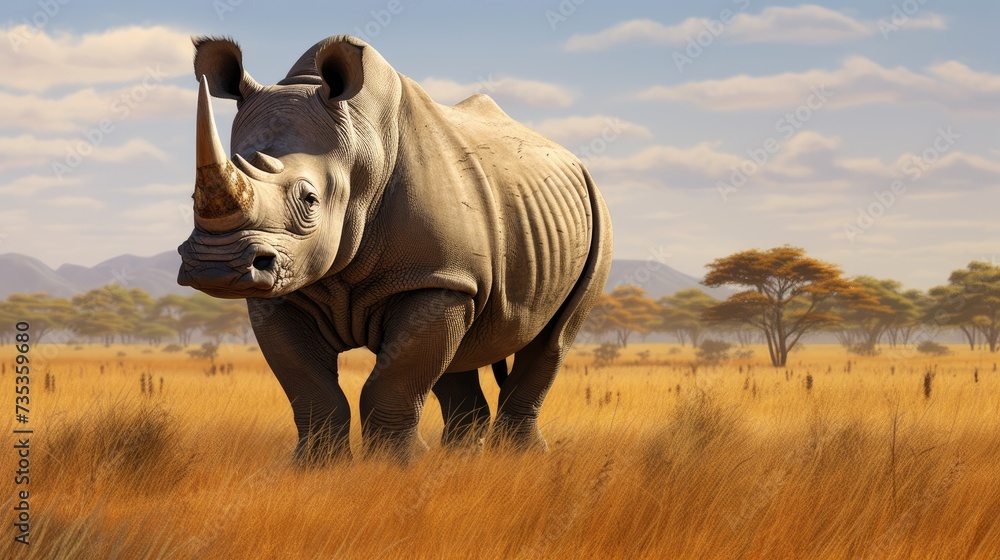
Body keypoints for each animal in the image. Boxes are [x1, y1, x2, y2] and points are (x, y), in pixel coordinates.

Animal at [177, 35, 613, 463]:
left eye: (310, 200)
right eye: (193, 196)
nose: (217, 267)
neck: (360, 148)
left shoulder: (435, 277)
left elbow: (394, 380)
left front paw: (395, 466)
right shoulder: (285, 289)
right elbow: (309, 386)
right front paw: (316, 468)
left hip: (596, 216)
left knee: (553, 339)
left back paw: (519, 458)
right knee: (460, 351)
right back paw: (459, 459)